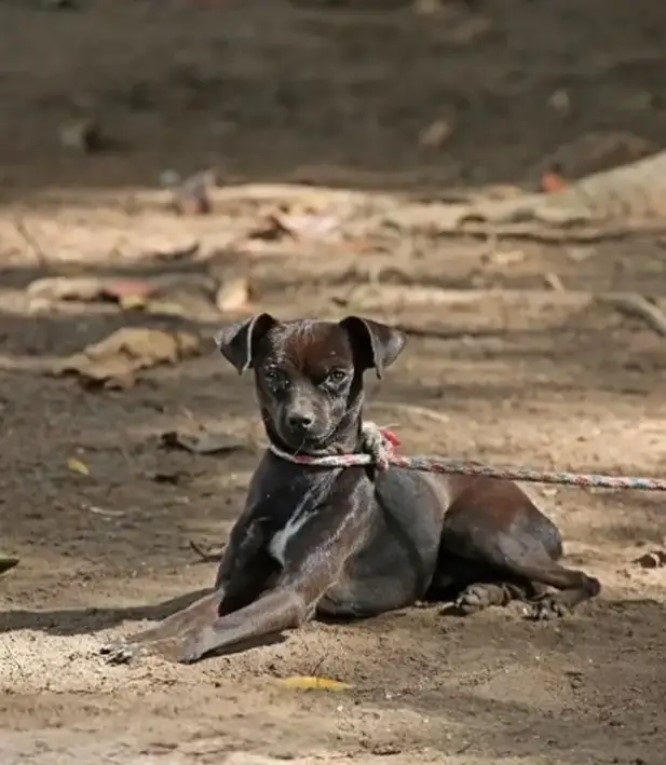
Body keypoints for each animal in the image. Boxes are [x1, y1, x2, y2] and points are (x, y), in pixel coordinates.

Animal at [101, 312, 600, 664]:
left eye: (338, 375)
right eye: (273, 374)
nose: (300, 421)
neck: (305, 475)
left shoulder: (293, 594)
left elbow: (216, 626)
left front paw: (164, 649)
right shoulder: (237, 582)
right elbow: (189, 613)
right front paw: (146, 636)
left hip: (479, 530)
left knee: (581, 578)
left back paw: (554, 603)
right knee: (523, 584)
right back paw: (484, 594)